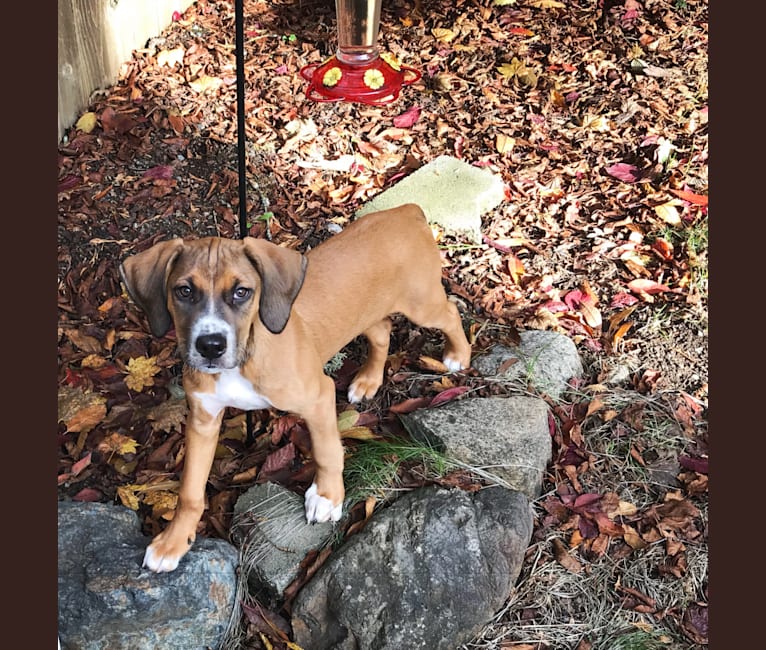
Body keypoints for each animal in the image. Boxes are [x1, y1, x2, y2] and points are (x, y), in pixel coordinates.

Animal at [119, 201, 472, 568]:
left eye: (242, 292)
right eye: (184, 291)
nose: (210, 346)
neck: (245, 357)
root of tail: (406, 210)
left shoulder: (318, 397)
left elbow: (327, 450)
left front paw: (328, 497)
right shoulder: (203, 420)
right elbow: (189, 490)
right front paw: (174, 541)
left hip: (422, 304)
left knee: (448, 313)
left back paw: (458, 355)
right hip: (367, 314)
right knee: (382, 332)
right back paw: (368, 381)